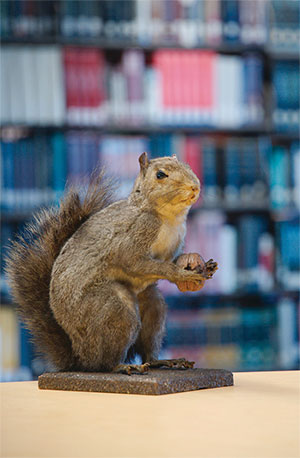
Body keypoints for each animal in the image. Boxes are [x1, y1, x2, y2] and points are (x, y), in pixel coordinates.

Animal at [6, 152, 218, 374]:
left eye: (187, 166)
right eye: (160, 175)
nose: (194, 187)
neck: (168, 218)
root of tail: (79, 357)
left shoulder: (173, 245)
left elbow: (172, 260)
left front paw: (194, 261)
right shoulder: (136, 234)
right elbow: (136, 262)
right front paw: (183, 274)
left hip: (152, 304)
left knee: (149, 343)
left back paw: (162, 361)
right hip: (113, 311)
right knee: (103, 362)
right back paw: (120, 366)